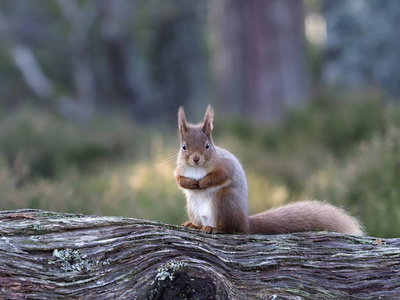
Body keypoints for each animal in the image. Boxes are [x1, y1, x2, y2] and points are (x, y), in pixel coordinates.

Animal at [173, 106, 364, 237]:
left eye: (207, 146)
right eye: (184, 147)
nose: (195, 159)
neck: (197, 169)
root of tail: (245, 222)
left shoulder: (225, 164)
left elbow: (221, 175)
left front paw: (204, 182)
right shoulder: (179, 169)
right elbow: (179, 179)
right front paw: (190, 183)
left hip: (223, 201)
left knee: (232, 228)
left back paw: (215, 228)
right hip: (193, 207)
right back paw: (195, 225)